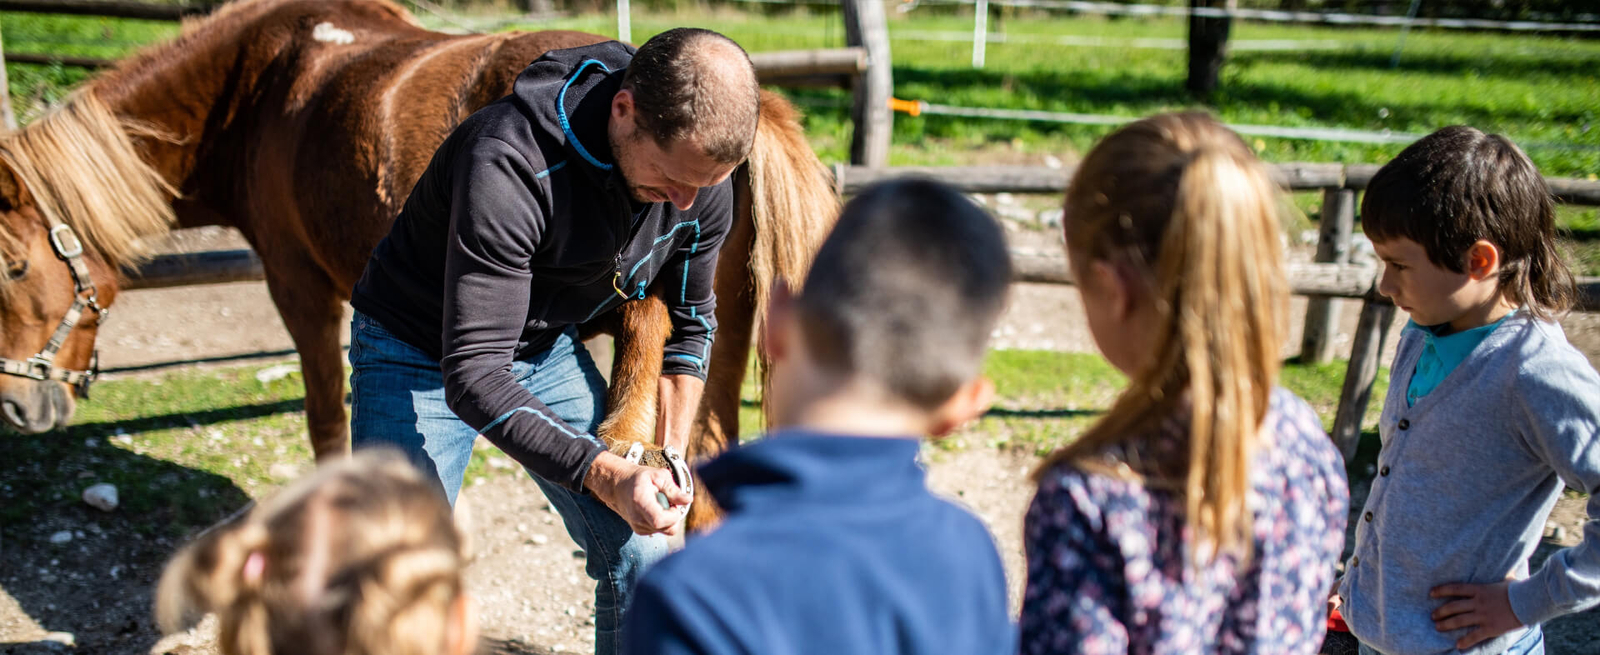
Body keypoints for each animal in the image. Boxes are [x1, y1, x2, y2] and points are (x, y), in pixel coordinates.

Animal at [0, 0, 844, 525]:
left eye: (10, 265)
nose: (18, 405)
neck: (256, 85)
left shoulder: (296, 282)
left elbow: (325, 418)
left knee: (651, 324)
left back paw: (621, 430)